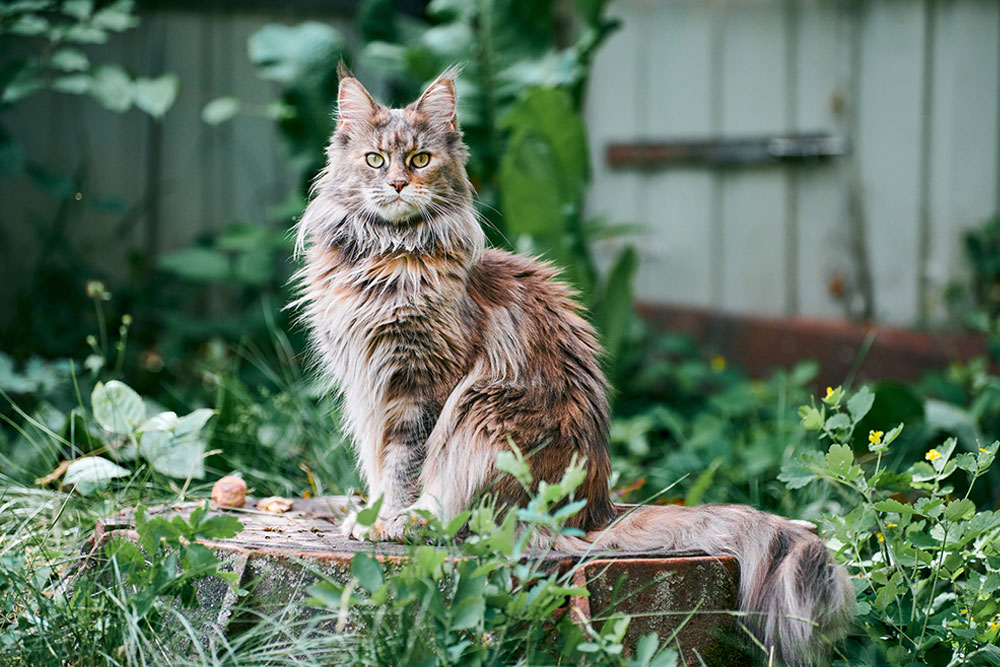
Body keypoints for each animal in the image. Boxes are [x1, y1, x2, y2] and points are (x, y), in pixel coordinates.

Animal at [292, 64, 856, 667]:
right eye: (376, 160)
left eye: (420, 160)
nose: (399, 184)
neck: (386, 256)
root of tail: (598, 509)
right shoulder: (369, 389)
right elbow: (381, 469)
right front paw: (369, 519)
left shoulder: (422, 388)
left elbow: (405, 467)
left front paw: (393, 524)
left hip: (480, 412)